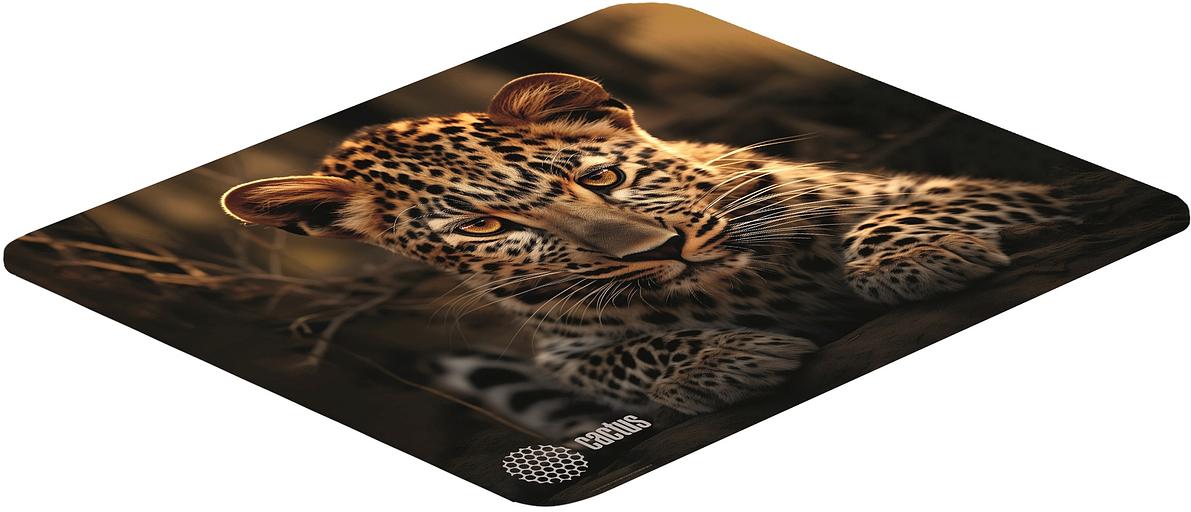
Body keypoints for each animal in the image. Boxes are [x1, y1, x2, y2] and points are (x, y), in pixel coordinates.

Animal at [222, 73, 1073, 437]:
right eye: (484, 227)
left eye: (600, 177)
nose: (664, 250)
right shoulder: (565, 353)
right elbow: (621, 359)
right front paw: (721, 360)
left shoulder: (996, 189)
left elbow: (903, 211)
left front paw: (915, 254)